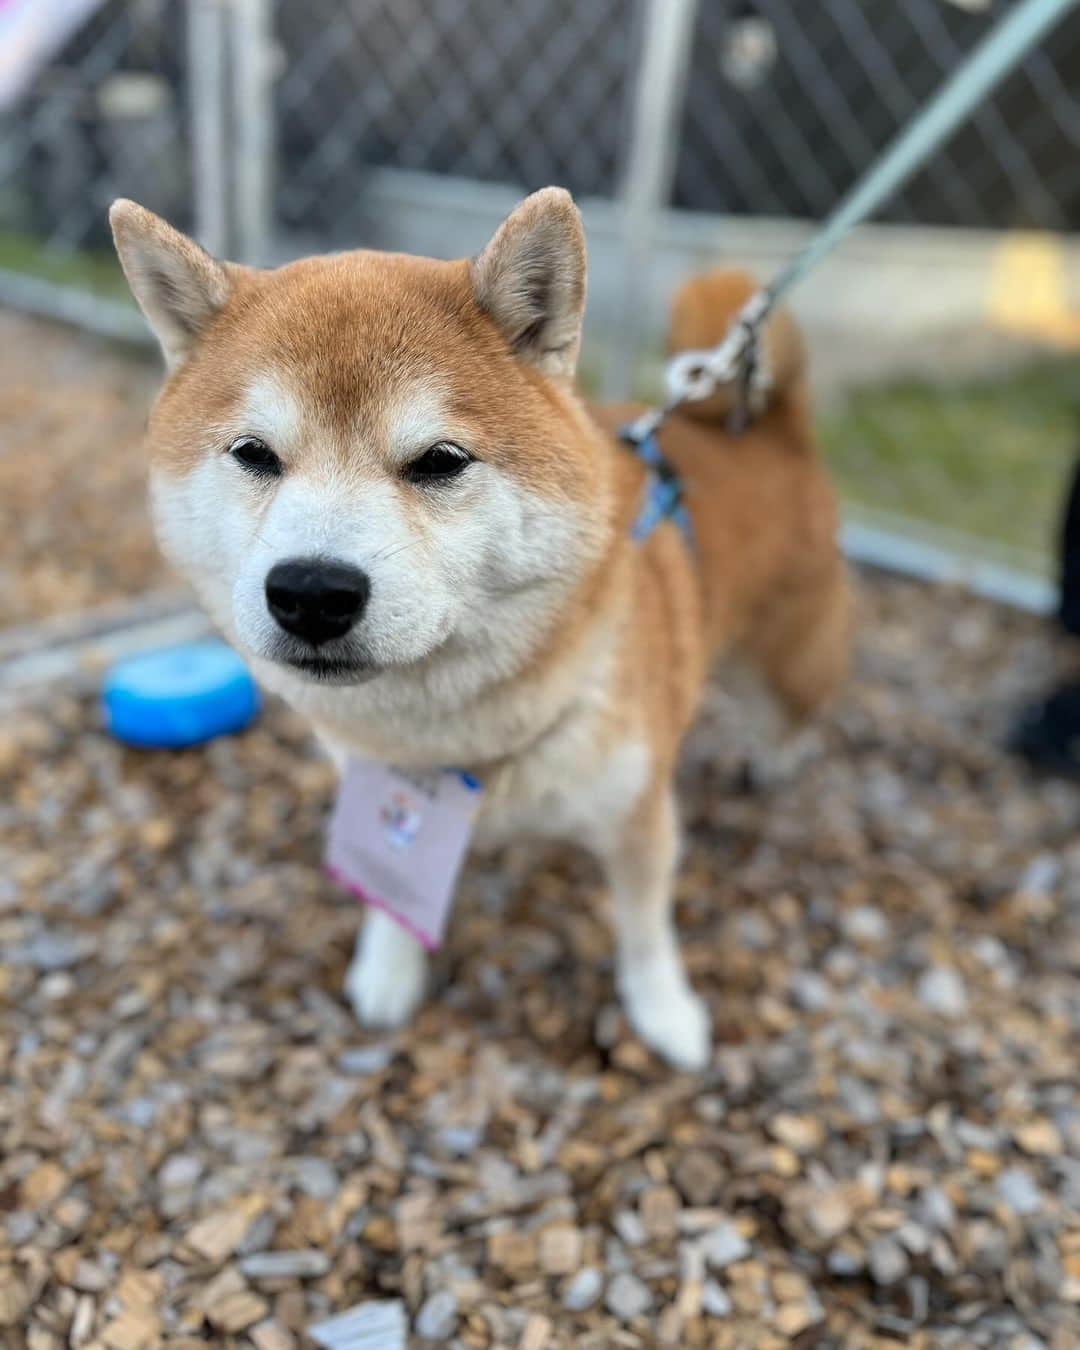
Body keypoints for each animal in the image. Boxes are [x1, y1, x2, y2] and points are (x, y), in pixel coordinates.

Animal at [112, 190, 853, 1069]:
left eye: (439, 460)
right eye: (254, 453)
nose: (312, 591)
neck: (456, 741)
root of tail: (773, 429)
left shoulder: (638, 817)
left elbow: (644, 931)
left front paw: (664, 1011)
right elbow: (388, 890)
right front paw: (389, 970)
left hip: (783, 667)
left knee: (797, 715)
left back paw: (775, 763)